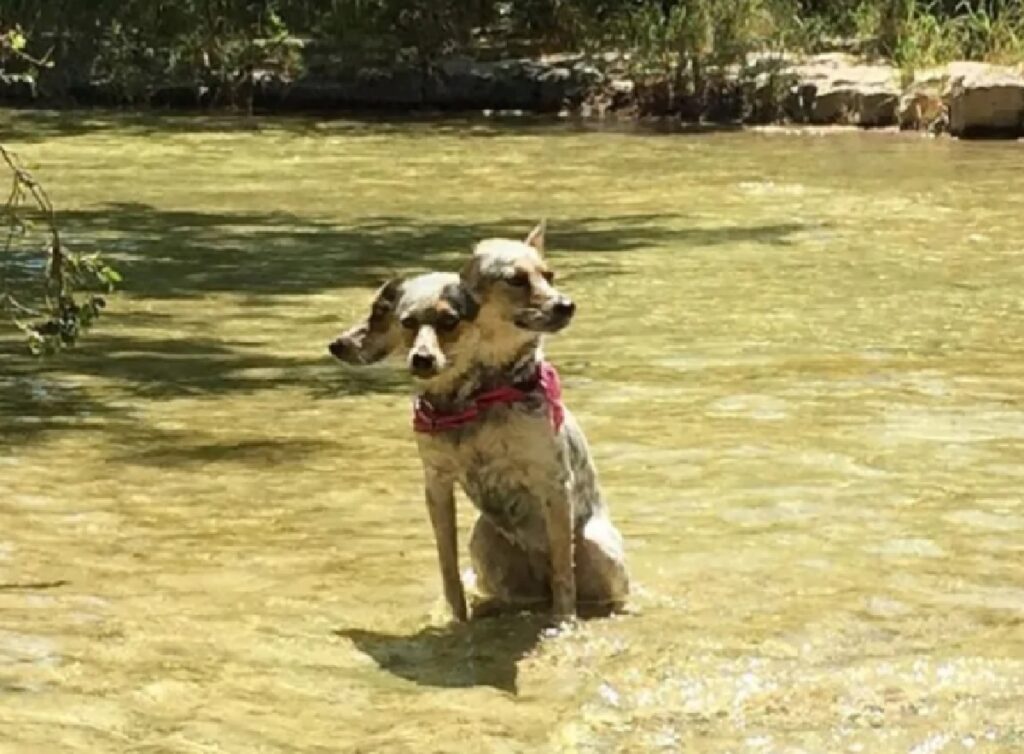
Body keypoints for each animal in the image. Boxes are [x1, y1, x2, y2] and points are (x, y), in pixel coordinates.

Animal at [327, 222, 626, 618]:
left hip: (595, 547)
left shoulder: (552, 482)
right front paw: (455, 617)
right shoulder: (437, 484)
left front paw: (564, 623)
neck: (474, 399)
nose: (566, 304)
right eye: (515, 279)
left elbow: (565, 575)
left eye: (549, 276)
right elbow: (448, 568)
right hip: (483, 540)